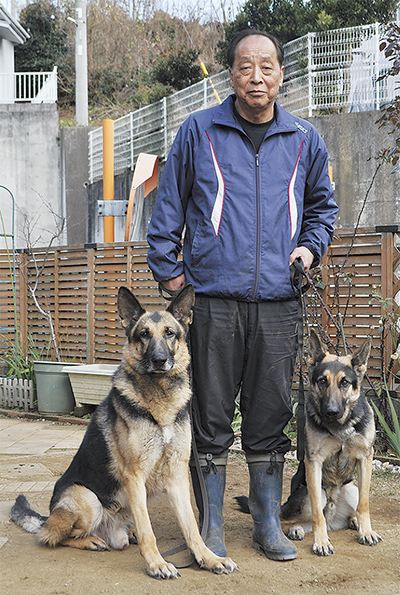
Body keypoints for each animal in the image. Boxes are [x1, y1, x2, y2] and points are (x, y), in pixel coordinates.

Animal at [10, 286, 238, 580]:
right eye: (144, 334)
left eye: (170, 333)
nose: (159, 360)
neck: (159, 399)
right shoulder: (134, 475)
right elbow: (149, 531)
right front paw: (156, 563)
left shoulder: (177, 476)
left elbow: (191, 528)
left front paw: (209, 558)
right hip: (88, 499)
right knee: (53, 536)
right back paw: (90, 540)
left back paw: (126, 534)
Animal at [280, 330, 382, 556]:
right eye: (322, 381)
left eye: (345, 382)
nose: (332, 412)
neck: (340, 427)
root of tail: (333, 517)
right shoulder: (313, 462)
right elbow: (317, 514)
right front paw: (321, 542)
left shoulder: (366, 457)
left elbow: (364, 504)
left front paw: (366, 531)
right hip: (308, 494)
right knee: (285, 518)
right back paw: (295, 529)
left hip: (351, 489)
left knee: (351, 509)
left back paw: (353, 522)